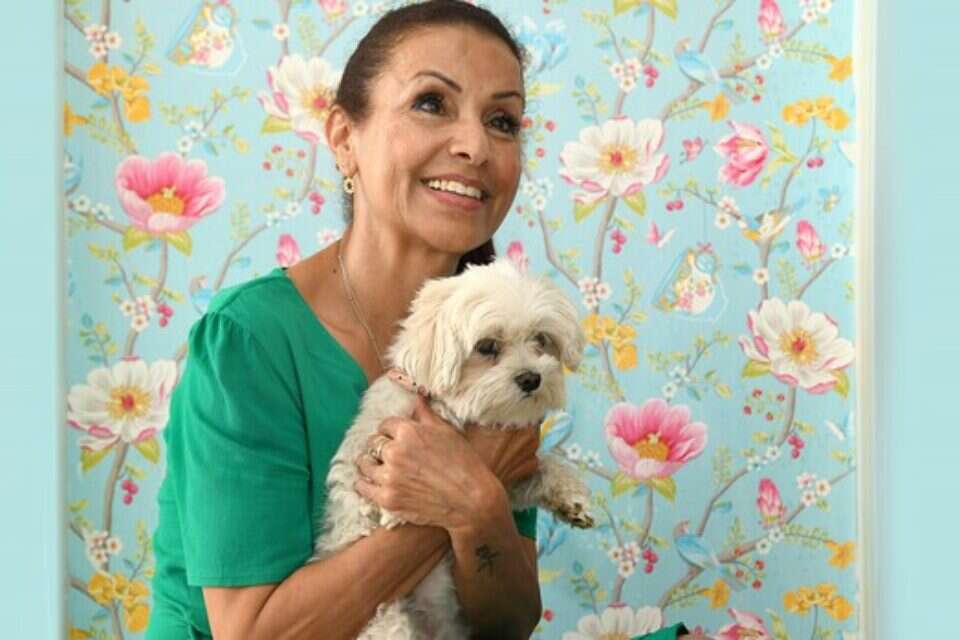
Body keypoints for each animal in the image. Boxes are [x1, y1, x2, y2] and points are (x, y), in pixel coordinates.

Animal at [311, 258, 595, 639]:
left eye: (541, 339)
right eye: (487, 346)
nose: (531, 378)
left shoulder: (501, 486)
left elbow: (542, 468)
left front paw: (571, 498)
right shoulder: (368, 451)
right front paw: (397, 508)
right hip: (381, 614)